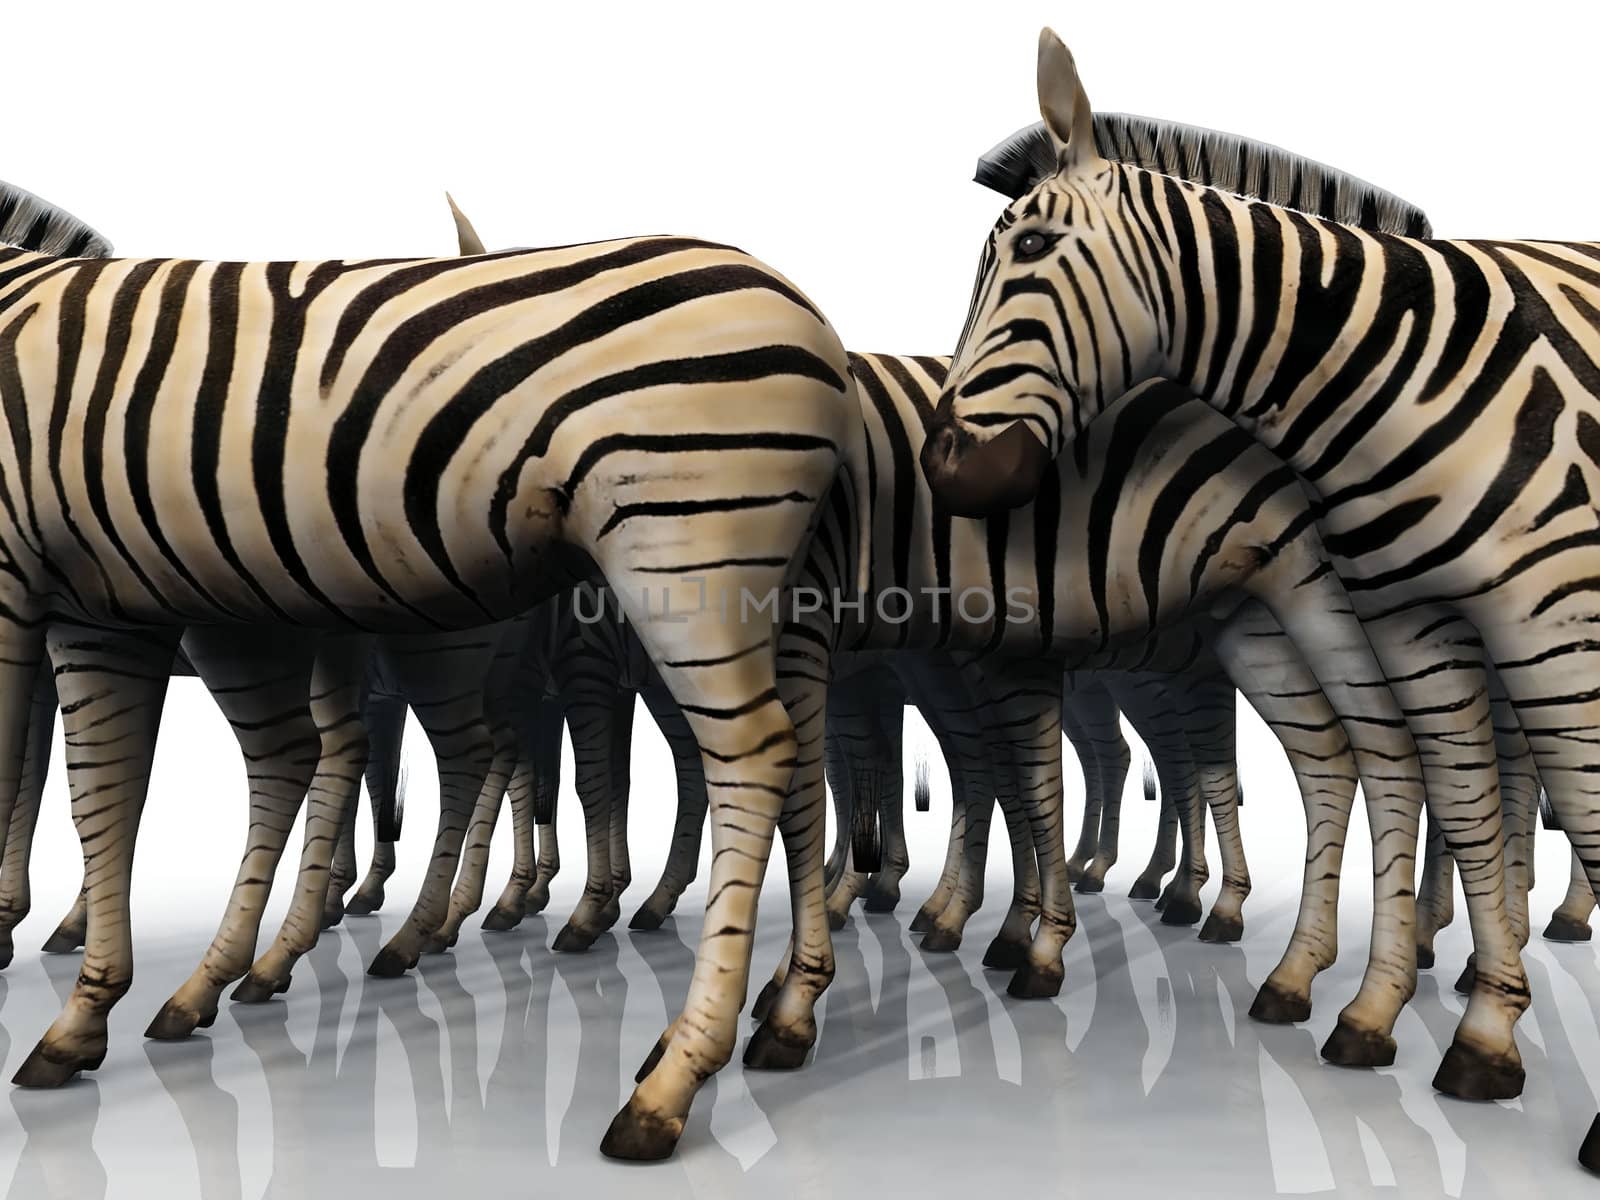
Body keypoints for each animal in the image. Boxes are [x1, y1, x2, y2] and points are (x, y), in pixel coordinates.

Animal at [0, 180, 876, 1164]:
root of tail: (818, 326)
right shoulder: (102, 608)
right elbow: (102, 794)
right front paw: (81, 1016)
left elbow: (32, 780)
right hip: (757, 587)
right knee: (785, 756)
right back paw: (782, 1012)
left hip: (680, 550)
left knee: (740, 756)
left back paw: (666, 1079)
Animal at [915, 25, 1600, 1139]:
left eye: (1031, 250)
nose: (949, 473)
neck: (1385, 376)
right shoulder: (1406, 623)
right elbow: (1449, 794)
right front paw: (1460, 1026)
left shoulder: (1542, 621)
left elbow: (1550, 793)